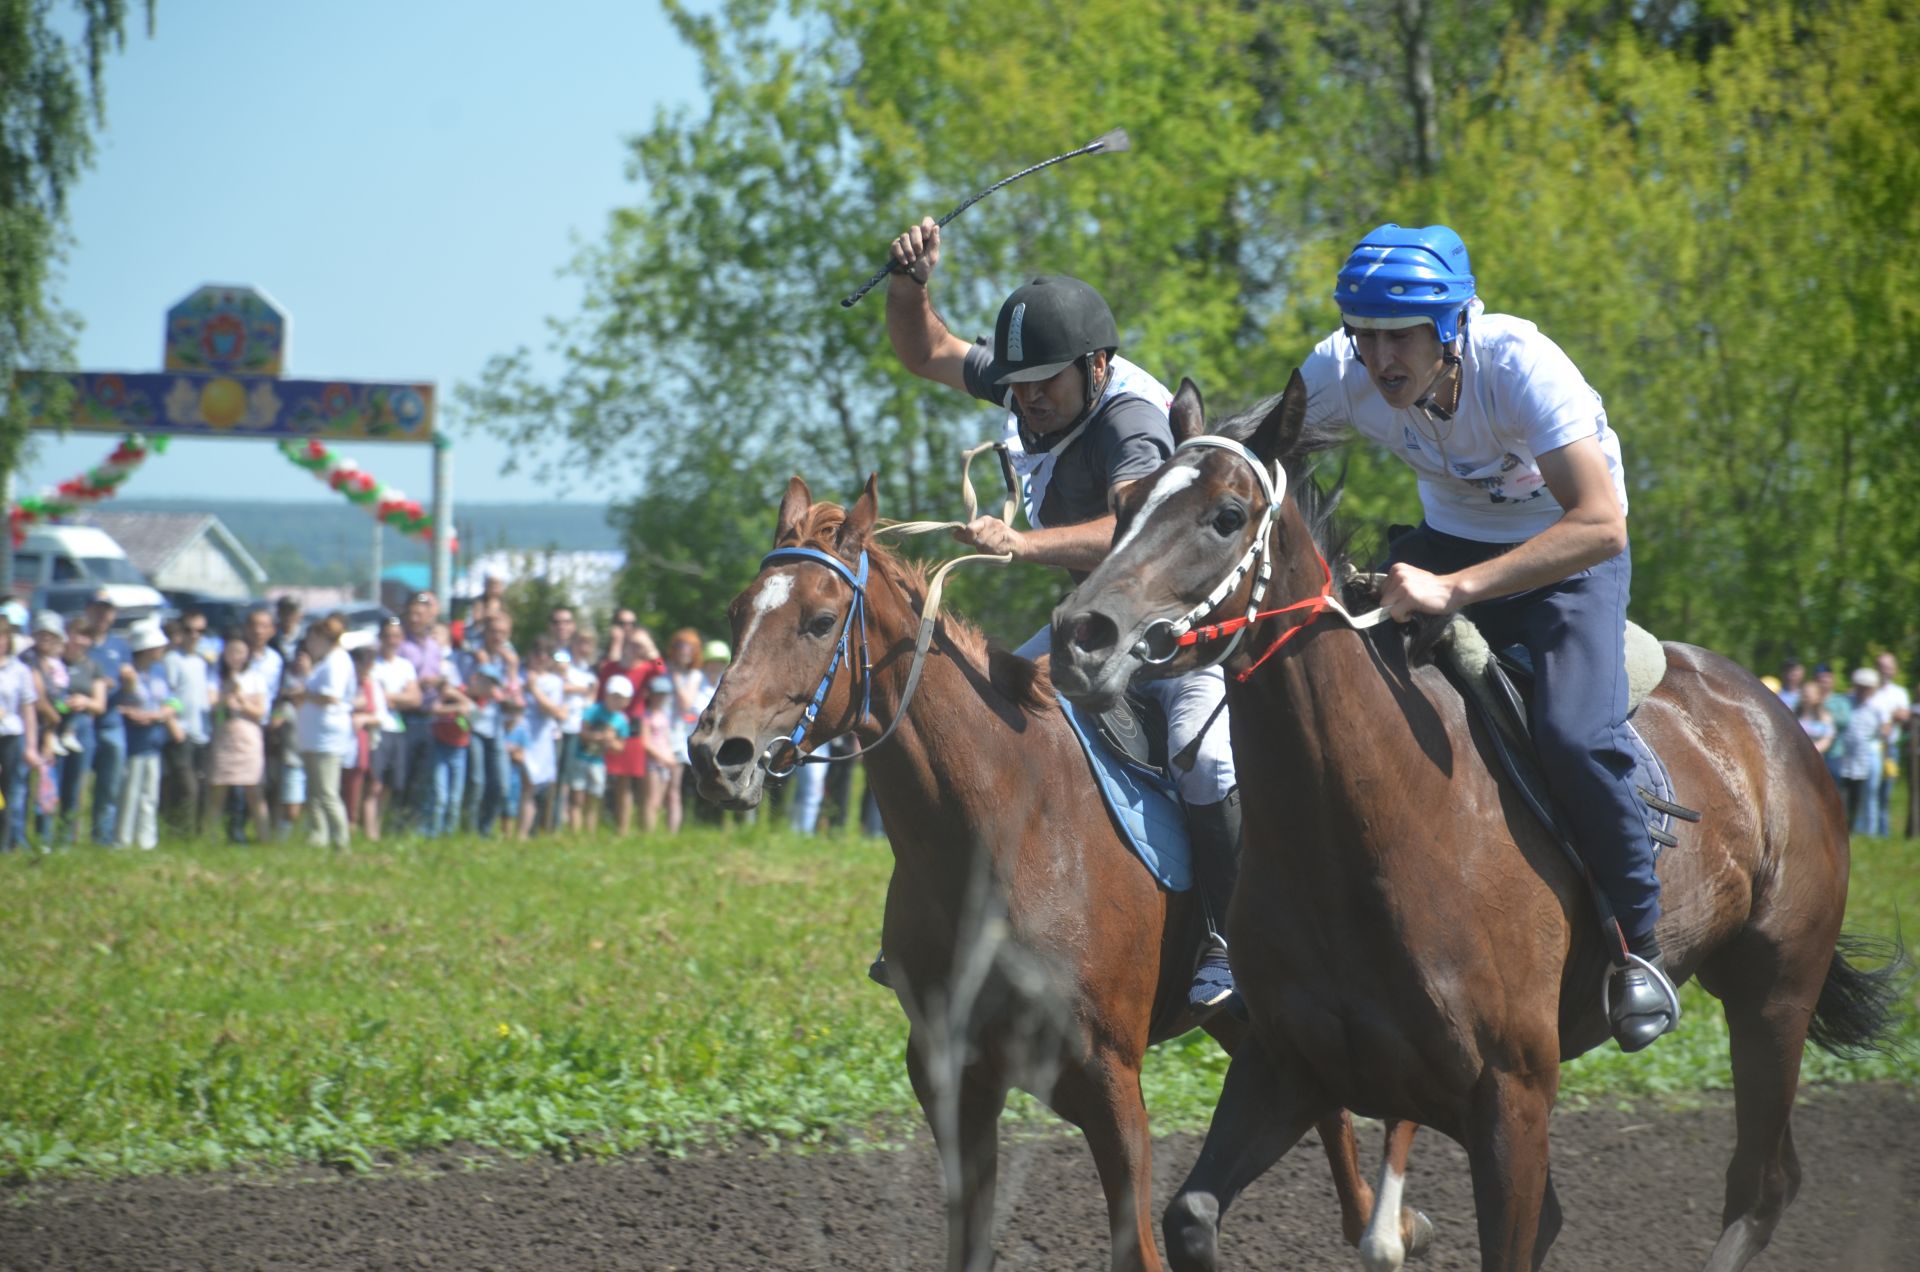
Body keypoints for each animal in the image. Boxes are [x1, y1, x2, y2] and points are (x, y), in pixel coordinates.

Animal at [691, 478, 1428, 1272]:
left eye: (821, 620)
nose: (716, 752)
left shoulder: (1109, 1082)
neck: (1005, 831)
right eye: (736, 613)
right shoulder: (953, 1079)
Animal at [1044, 376, 1896, 1272]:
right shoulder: (1289, 1064)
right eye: (1123, 501)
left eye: (1227, 515)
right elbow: (1190, 1216)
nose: (1081, 637)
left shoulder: (1511, 1101)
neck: (1365, 834)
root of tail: (1775, 718)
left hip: (1776, 988)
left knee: (1761, 1182)